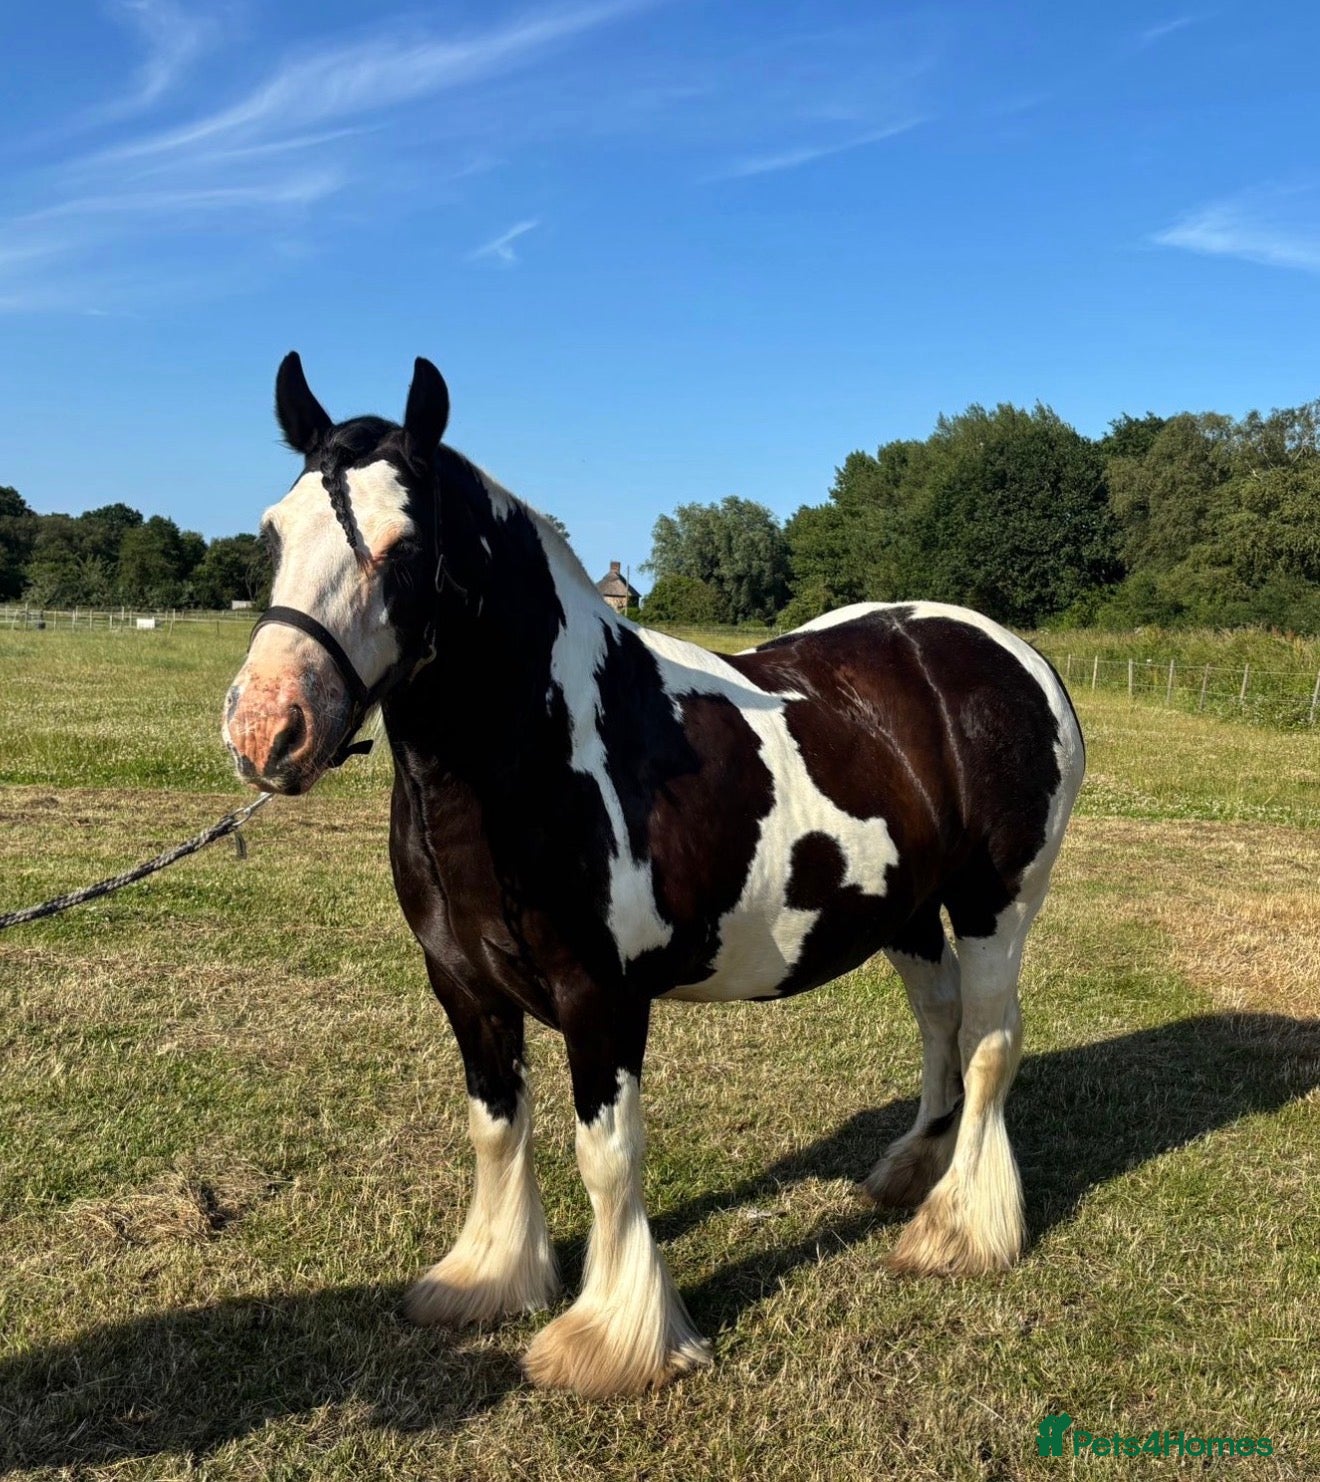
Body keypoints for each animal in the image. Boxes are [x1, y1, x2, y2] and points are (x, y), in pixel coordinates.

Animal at [223, 353, 1085, 1399]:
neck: (544, 757)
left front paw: (613, 1337)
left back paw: (959, 1230)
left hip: (997, 902)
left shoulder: (601, 997)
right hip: (904, 912)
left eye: (406, 546)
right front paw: (489, 1278)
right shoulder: (464, 987)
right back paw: (913, 1173)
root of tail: (1009, 652)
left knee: (994, 1042)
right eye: (273, 531)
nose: (268, 729)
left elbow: (607, 1155)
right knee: (943, 1024)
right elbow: (495, 1127)